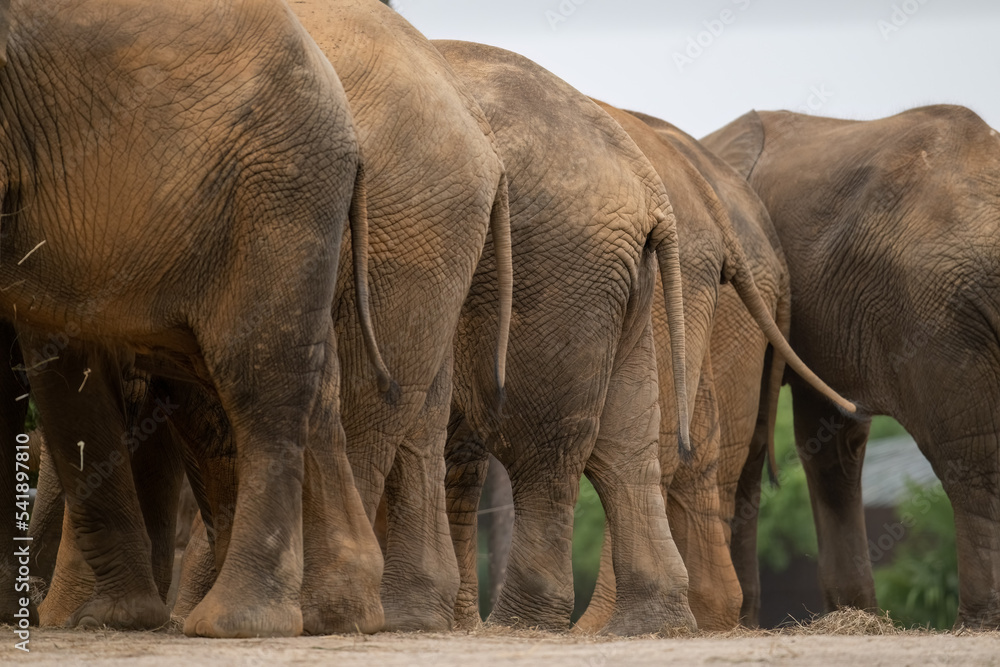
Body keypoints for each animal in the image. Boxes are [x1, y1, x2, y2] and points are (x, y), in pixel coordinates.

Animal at [0, 0, 386, 640]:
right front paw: (111, 620)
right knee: (305, 388)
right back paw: (339, 616)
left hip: (274, 198)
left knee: (260, 380)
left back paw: (239, 622)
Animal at [434, 40, 700, 636]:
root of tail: (648, 185)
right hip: (617, 284)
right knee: (626, 450)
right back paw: (648, 627)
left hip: (555, 270)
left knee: (540, 448)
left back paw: (517, 626)